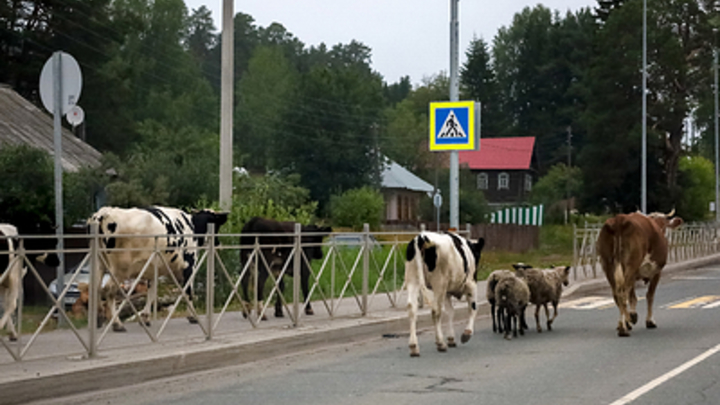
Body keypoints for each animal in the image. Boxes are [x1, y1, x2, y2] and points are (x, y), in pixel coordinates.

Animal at [89, 207, 228, 330]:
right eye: (216, 225)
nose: (218, 244)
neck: (192, 226)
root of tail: (104, 212)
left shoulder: (154, 269)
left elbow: (151, 293)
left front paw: (145, 318)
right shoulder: (189, 266)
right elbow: (188, 291)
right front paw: (193, 316)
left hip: (99, 264)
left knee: (96, 287)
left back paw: (98, 319)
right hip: (119, 270)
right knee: (108, 289)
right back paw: (117, 324)